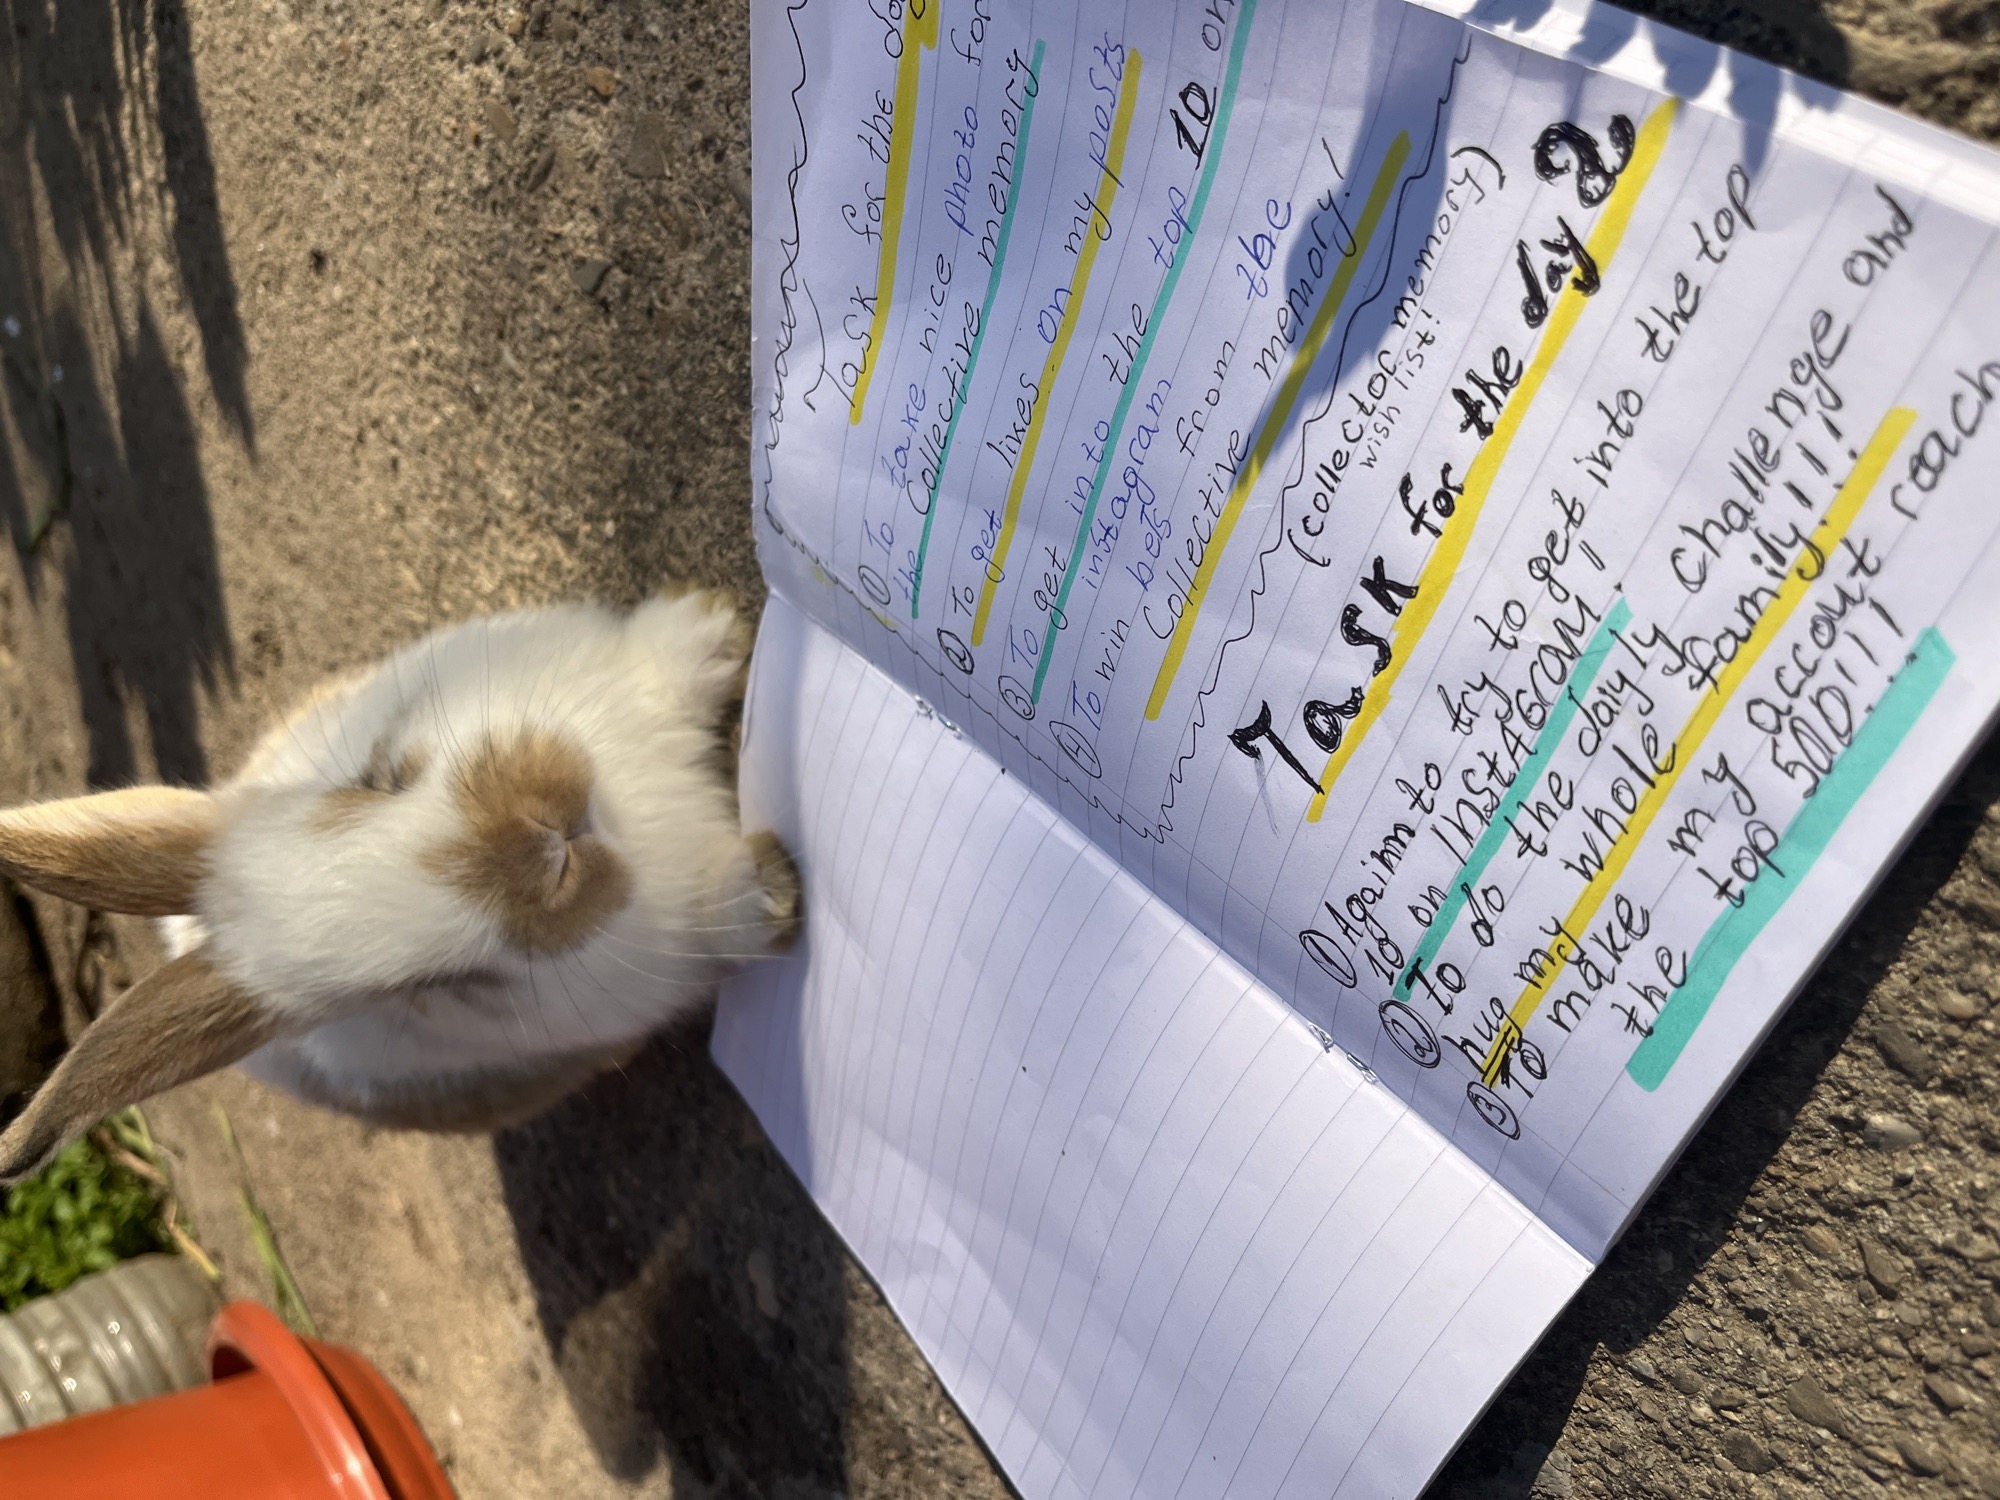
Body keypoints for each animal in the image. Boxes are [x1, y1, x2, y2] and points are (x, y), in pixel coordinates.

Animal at [0, 584, 800, 1179]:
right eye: (436, 984)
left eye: (379, 779)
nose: (550, 842)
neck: (621, 818)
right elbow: (726, 919)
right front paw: (776, 894)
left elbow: (661, 667)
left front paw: (714, 632)